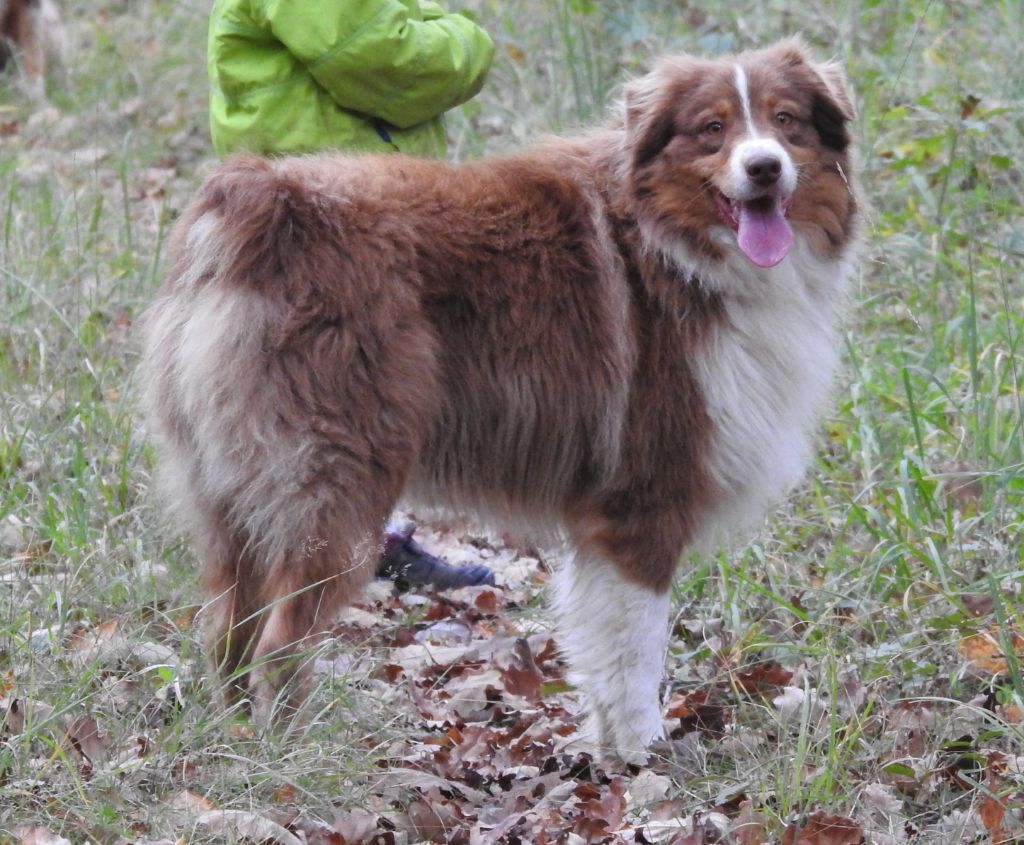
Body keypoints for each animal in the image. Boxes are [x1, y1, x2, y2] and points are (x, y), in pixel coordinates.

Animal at [144, 41, 860, 766]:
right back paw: (291, 755)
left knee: (227, 632)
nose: (764, 166)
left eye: (785, 119)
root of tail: (262, 199)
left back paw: (234, 742)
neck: (673, 245)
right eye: (712, 128)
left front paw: (607, 746)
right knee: (278, 644)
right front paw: (643, 753)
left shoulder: (602, 518)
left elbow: (600, 643)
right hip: (335, 487)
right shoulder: (643, 503)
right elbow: (636, 649)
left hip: (231, 496)